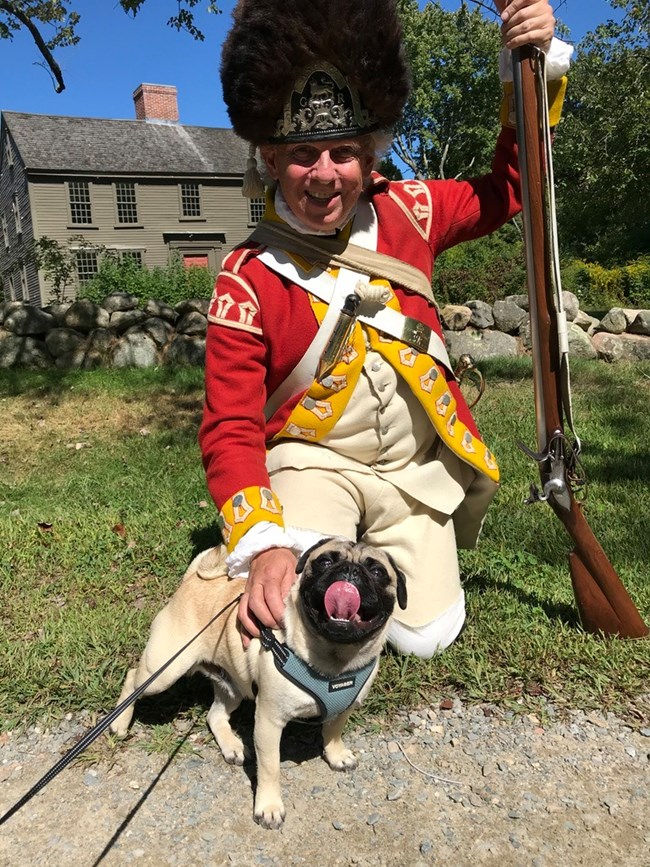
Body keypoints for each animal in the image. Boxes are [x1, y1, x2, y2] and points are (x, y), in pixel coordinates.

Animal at [111, 540, 404, 832]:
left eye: (377, 571)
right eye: (325, 562)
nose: (350, 571)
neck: (334, 662)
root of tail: (193, 579)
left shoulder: (345, 708)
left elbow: (333, 732)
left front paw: (336, 754)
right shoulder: (268, 721)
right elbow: (271, 767)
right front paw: (269, 807)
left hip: (232, 686)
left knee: (215, 715)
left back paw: (232, 746)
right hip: (164, 670)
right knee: (133, 678)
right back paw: (119, 723)